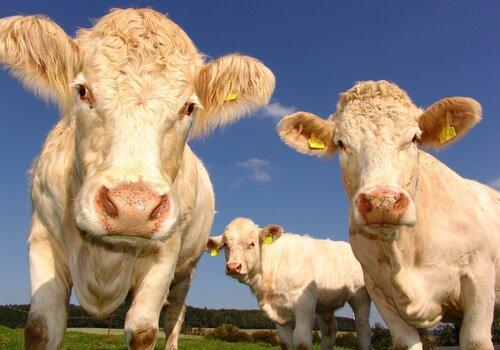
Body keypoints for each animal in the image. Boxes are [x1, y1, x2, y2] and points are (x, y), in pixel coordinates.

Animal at [0, 8, 276, 350]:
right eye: (83, 91)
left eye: (189, 107)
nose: (133, 208)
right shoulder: (43, 239)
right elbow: (40, 327)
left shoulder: (166, 255)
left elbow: (144, 331)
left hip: (186, 272)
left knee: (173, 319)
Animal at [205, 217, 374, 348]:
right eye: (226, 245)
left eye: (252, 243)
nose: (233, 266)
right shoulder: (278, 316)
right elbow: (286, 343)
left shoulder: (304, 306)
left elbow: (301, 342)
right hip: (325, 304)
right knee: (329, 331)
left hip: (360, 297)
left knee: (363, 330)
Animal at [278, 80, 500, 348]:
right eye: (341, 143)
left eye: (414, 137)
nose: (381, 201)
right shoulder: (378, 290)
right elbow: (405, 341)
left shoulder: (480, 277)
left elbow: (475, 339)